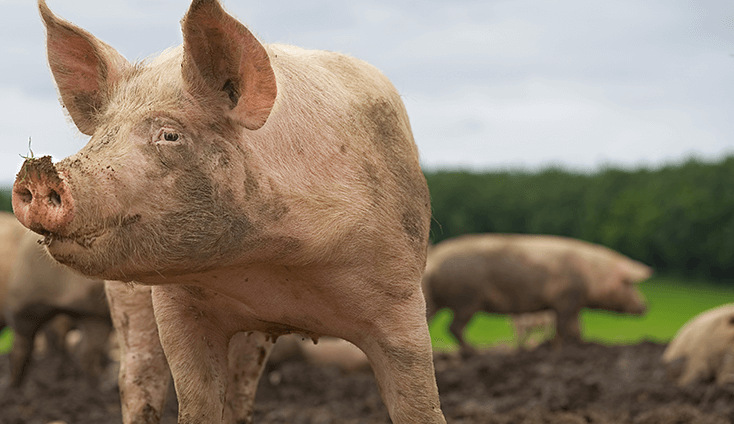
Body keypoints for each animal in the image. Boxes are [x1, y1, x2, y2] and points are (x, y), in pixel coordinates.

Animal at [5, 231, 112, 388]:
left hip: (94, 316)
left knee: (85, 353)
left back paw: (96, 386)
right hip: (24, 302)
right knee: (22, 346)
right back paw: (14, 387)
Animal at [423, 234, 651, 349]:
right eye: (629, 284)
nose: (646, 306)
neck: (592, 274)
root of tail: (433, 260)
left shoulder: (574, 303)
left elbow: (576, 328)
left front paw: (581, 344)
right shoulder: (566, 298)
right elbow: (564, 326)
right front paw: (562, 345)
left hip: (436, 300)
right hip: (466, 300)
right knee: (454, 328)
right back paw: (475, 353)